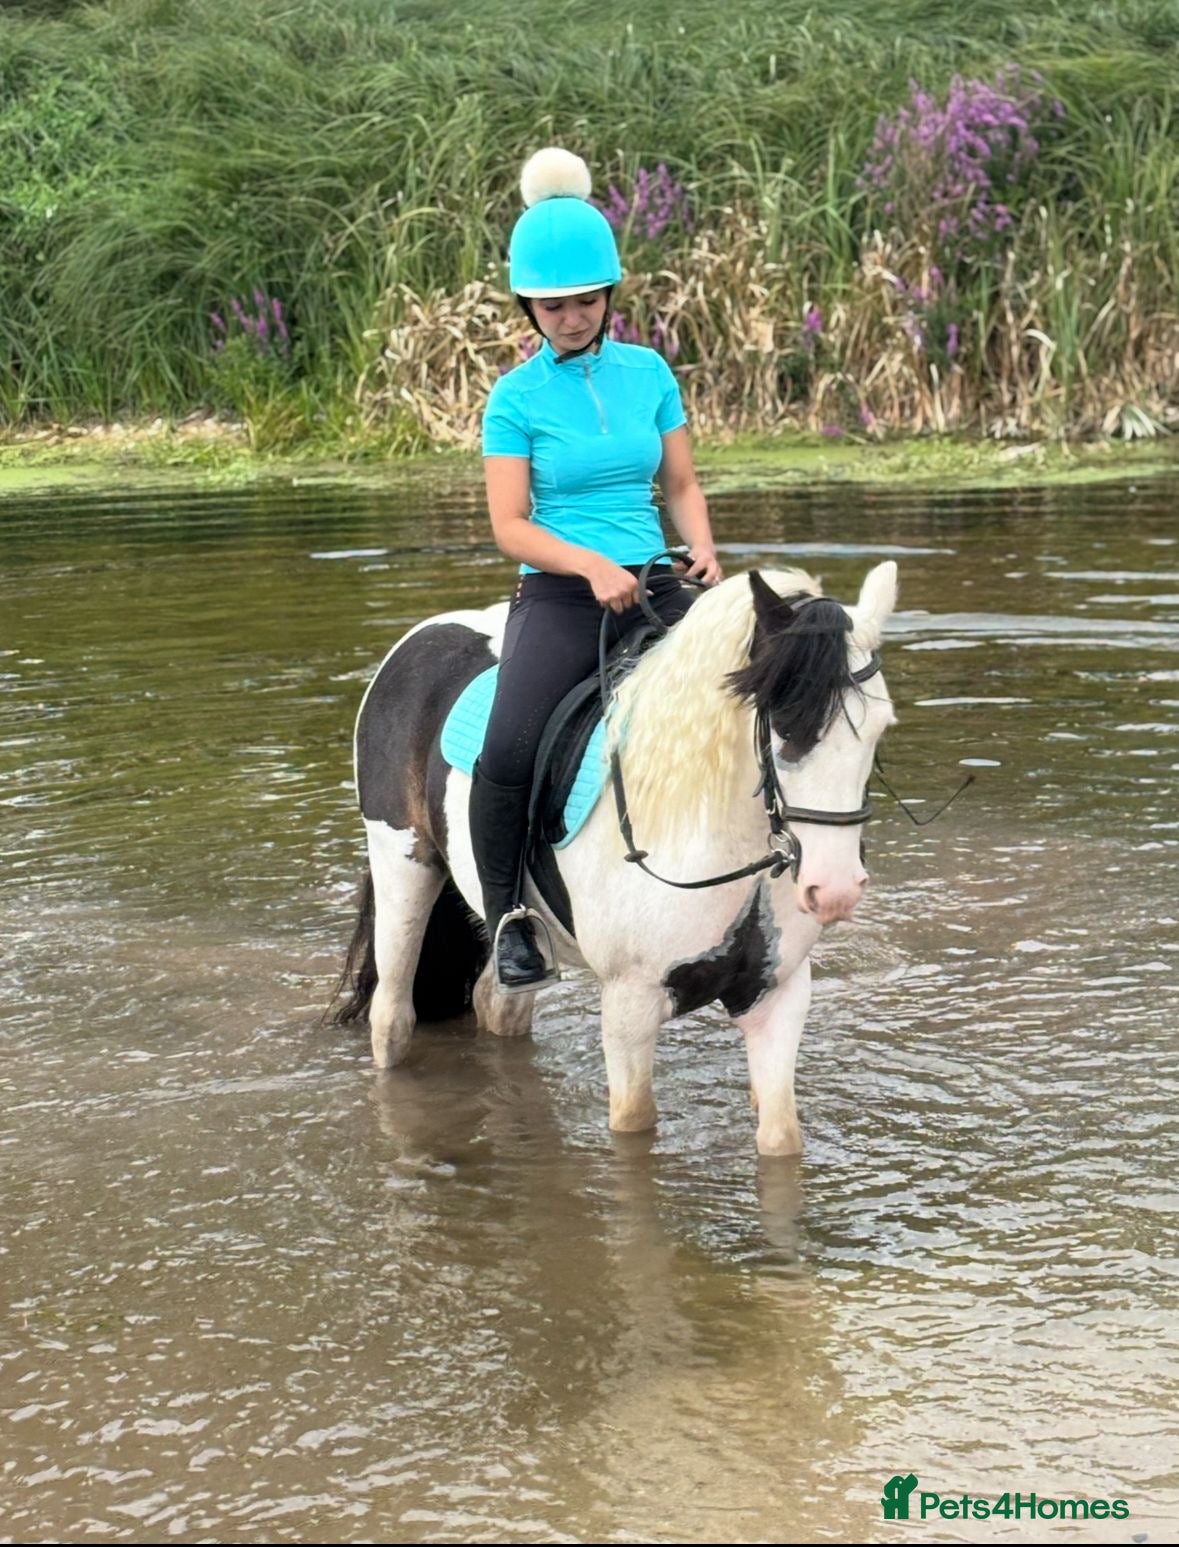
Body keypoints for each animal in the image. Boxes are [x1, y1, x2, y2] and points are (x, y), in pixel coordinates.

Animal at [332, 562, 897, 1156]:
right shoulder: (630, 1003)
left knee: (499, 1004)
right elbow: (633, 1125)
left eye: (881, 728)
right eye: (786, 723)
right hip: (403, 868)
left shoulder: (777, 994)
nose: (834, 889)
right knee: (392, 1017)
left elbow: (782, 1137)